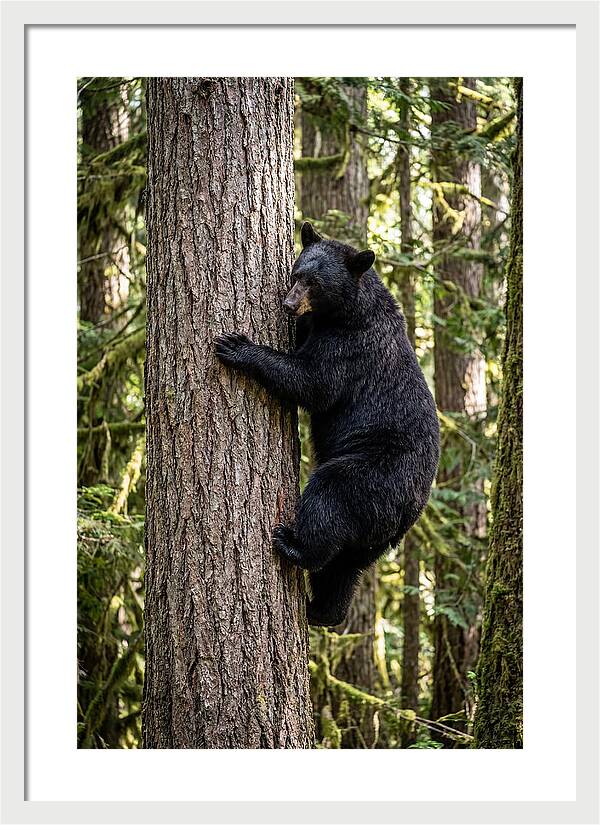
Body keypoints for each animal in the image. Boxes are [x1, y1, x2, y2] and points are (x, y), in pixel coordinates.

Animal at [215, 221, 440, 626]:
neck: (347, 311)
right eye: (296, 273)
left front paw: (237, 346)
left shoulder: (349, 347)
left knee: (329, 499)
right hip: (374, 535)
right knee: (345, 567)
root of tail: (410, 510)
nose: (289, 304)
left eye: (315, 283)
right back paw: (323, 610)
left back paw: (292, 545)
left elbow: (312, 382)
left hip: (372, 475)